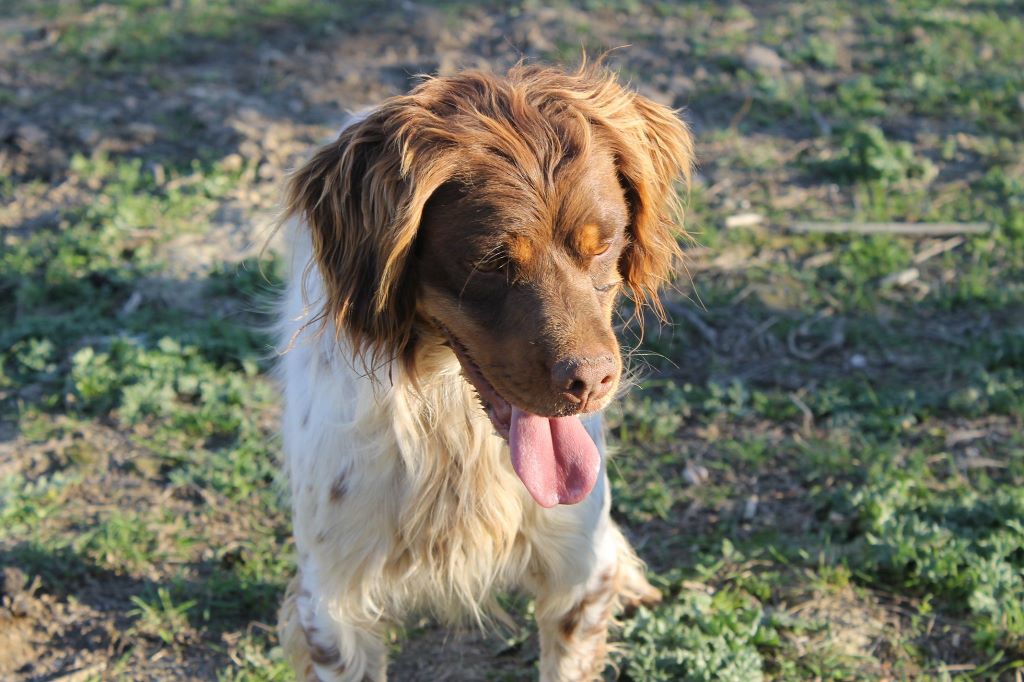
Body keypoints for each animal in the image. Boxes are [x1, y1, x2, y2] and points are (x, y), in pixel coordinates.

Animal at [276, 61, 696, 675]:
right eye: (491, 262)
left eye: (604, 243)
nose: (591, 382)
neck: (453, 421)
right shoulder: (331, 603)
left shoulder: (578, 572)